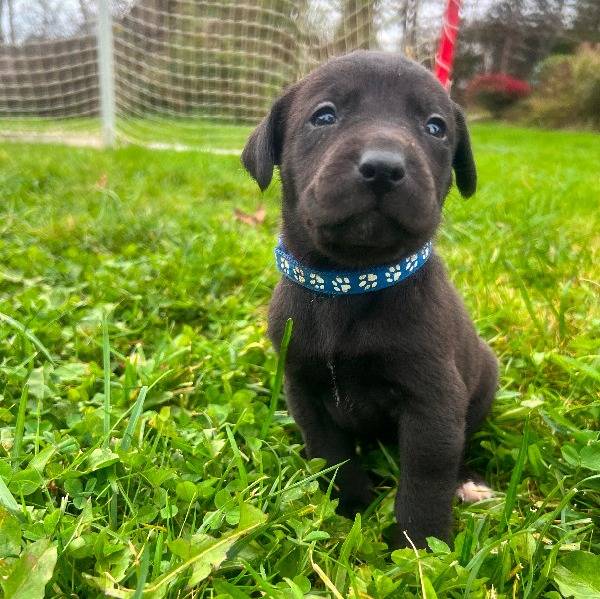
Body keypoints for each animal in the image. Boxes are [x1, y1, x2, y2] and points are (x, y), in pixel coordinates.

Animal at [239, 50, 496, 548]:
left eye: (435, 127)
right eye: (324, 116)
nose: (383, 167)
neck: (349, 282)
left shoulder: (433, 401)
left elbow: (426, 475)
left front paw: (419, 544)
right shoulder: (303, 390)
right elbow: (332, 454)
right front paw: (350, 508)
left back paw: (468, 483)